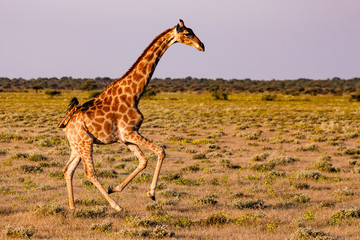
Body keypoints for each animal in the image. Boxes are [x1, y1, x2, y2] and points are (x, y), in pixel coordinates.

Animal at [58, 19, 205, 210]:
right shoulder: (129, 132)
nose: (202, 46)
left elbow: (143, 161)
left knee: (68, 170)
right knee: (89, 173)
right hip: (86, 143)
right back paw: (116, 206)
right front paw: (151, 194)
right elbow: (161, 151)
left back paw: (73, 206)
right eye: (187, 33)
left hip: (77, 145)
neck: (134, 94)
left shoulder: (126, 137)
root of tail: (66, 123)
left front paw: (114, 188)